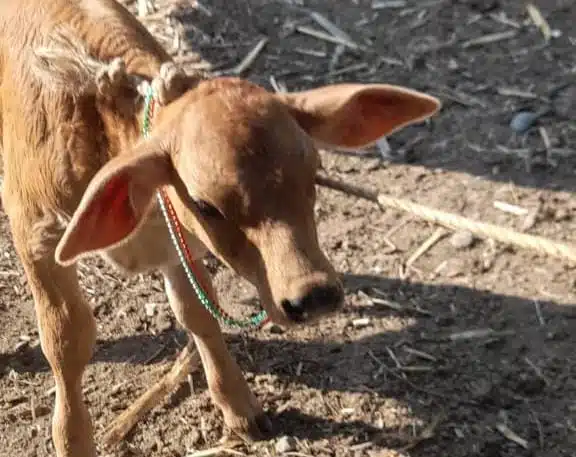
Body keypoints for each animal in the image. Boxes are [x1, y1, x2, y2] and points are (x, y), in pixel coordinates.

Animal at [0, 0, 440, 456]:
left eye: (314, 174)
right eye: (205, 204)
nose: (315, 296)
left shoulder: (177, 242)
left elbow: (198, 311)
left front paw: (238, 405)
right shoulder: (34, 234)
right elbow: (66, 339)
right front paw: (72, 438)